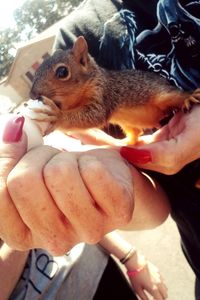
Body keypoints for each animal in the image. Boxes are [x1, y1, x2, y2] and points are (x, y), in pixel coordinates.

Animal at [29, 35, 200, 144]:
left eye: (62, 72)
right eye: (35, 73)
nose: (32, 94)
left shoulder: (103, 93)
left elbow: (95, 114)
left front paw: (58, 116)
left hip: (164, 94)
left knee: (177, 95)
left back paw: (189, 97)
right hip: (126, 125)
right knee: (136, 133)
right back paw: (126, 143)